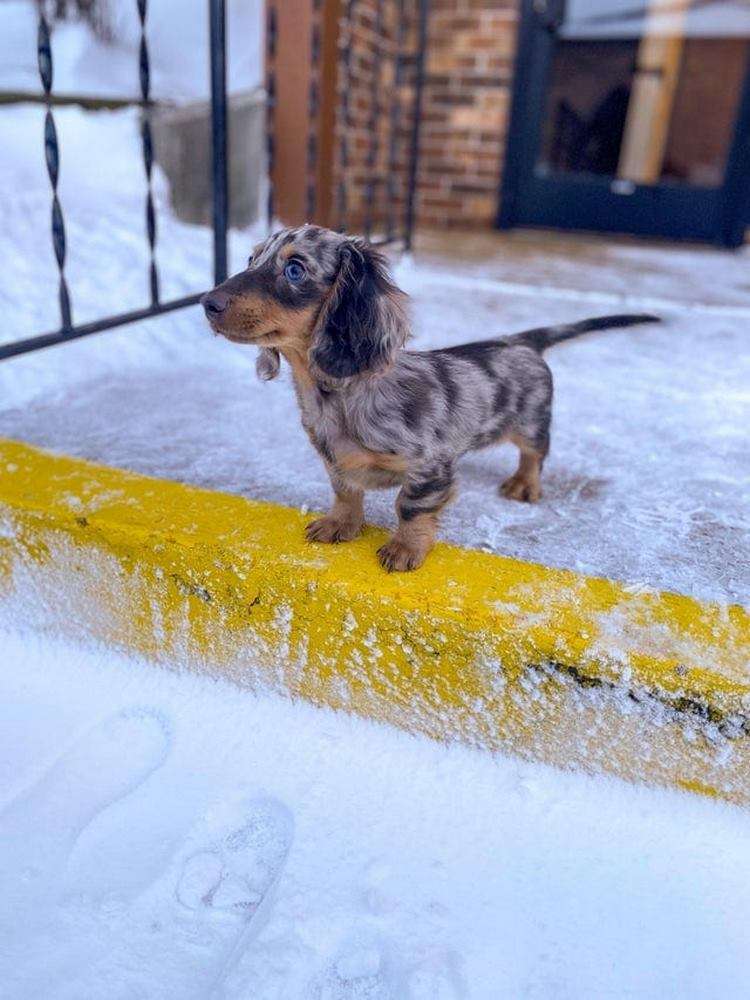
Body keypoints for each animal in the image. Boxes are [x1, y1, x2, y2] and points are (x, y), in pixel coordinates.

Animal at [201, 225, 658, 572]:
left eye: (294, 269)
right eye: (250, 260)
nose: (208, 303)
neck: (341, 396)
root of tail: (520, 340)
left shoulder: (430, 464)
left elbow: (411, 506)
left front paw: (406, 547)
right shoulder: (335, 463)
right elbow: (346, 492)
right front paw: (340, 524)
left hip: (531, 422)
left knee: (535, 453)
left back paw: (524, 484)